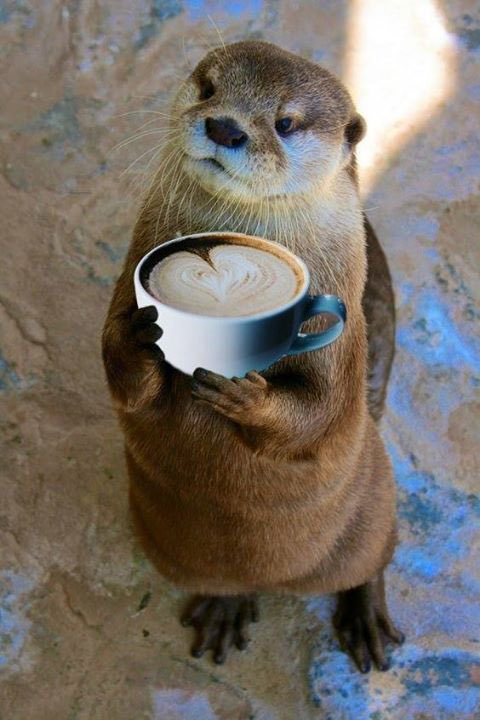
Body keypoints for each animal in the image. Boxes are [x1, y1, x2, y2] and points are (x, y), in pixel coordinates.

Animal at [102, 40, 402, 672]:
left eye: (285, 123)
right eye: (209, 87)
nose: (225, 126)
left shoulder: (343, 340)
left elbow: (319, 413)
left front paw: (244, 394)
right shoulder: (127, 281)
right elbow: (120, 374)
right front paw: (144, 340)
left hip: (375, 506)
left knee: (376, 557)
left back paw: (365, 617)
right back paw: (225, 608)